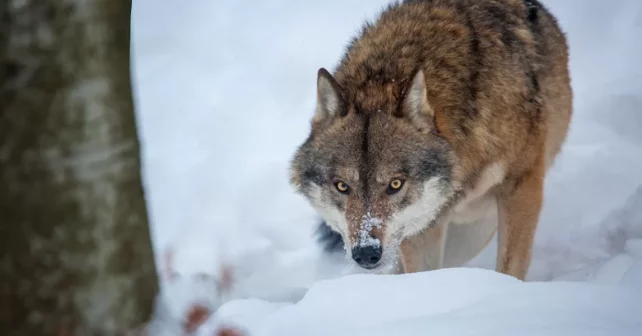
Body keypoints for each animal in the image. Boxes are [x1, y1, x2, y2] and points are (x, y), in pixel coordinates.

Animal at [288, 0, 568, 280]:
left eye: (395, 184)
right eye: (342, 186)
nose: (366, 253)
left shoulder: (522, 184)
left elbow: (509, 270)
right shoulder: (419, 226)